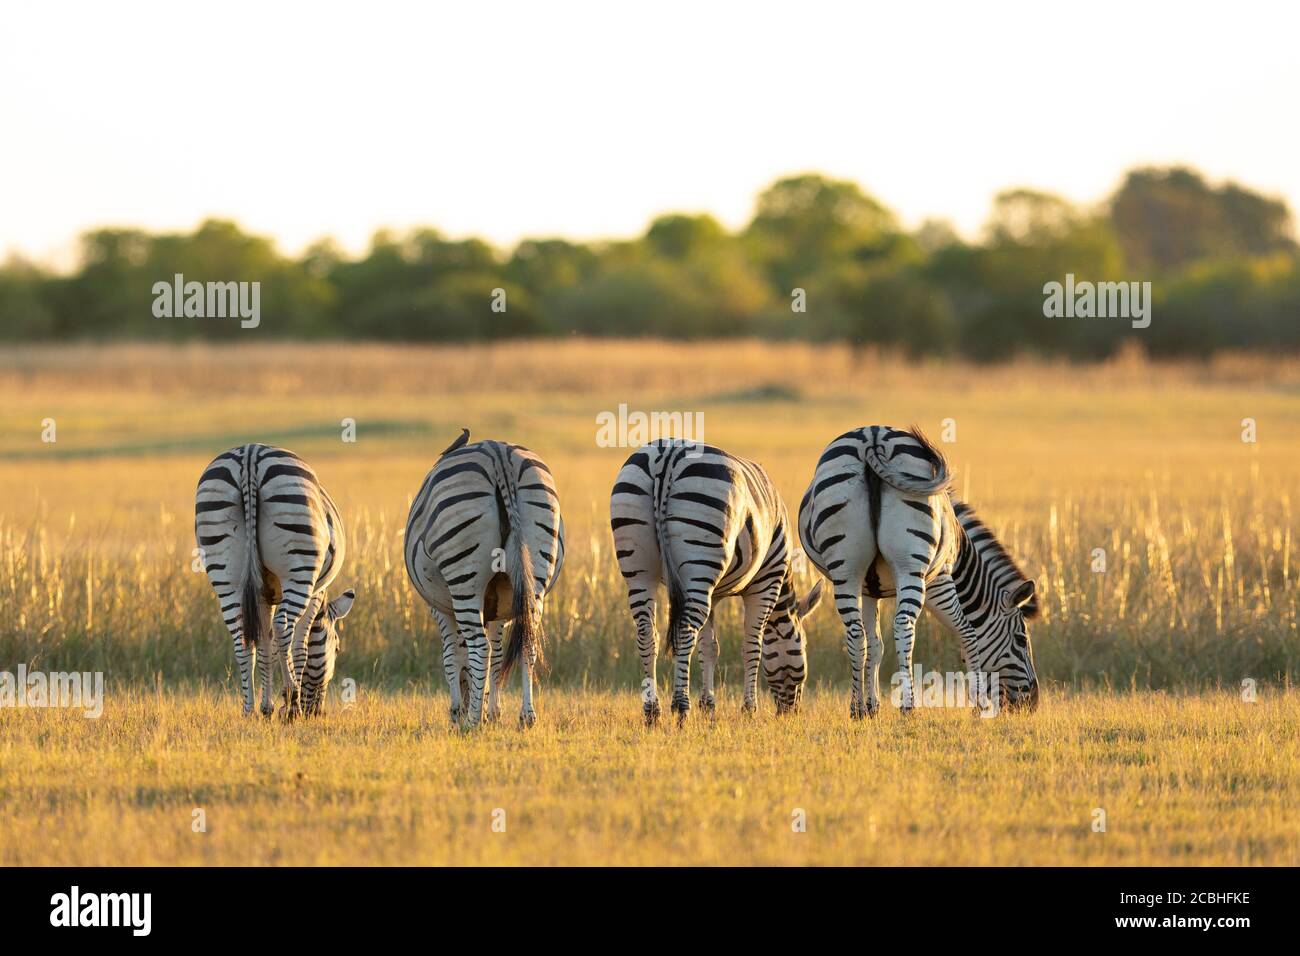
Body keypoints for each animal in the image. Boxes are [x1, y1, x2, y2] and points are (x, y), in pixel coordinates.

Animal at [195, 447, 356, 717]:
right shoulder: (315, 594)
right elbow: (299, 647)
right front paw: (289, 706)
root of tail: (250, 455)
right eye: (336, 648)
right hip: (299, 567)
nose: (318, 713)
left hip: (225, 573)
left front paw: (266, 707)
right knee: (283, 624)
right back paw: (292, 696)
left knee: (241, 637)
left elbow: (264, 645)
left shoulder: (264, 594)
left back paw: (248, 710)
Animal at [403, 429, 566, 728]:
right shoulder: (500, 605)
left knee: (479, 646)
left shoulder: (440, 608)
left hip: (464, 574)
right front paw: (493, 712)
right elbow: (498, 657)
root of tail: (499, 455)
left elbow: (452, 656)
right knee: (527, 643)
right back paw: (526, 716)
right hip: (536, 573)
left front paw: (460, 712)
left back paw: (472, 724)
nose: (465, 712)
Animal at [608, 442, 821, 723]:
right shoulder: (766, 583)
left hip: (641, 567)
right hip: (700, 556)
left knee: (646, 632)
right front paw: (749, 709)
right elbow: (752, 646)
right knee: (685, 631)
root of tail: (667, 456)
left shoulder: (714, 593)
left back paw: (652, 711)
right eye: (802, 647)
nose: (790, 714)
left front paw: (708, 706)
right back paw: (681, 706)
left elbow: (709, 647)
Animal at [795, 426, 1040, 717]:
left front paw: (871, 706)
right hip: (911, 566)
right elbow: (967, 632)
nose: (1033, 703)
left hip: (846, 567)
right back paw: (908, 706)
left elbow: (874, 643)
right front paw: (979, 705)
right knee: (903, 625)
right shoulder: (940, 579)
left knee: (854, 633)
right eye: (1020, 639)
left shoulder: (869, 588)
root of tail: (872, 437)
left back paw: (855, 709)